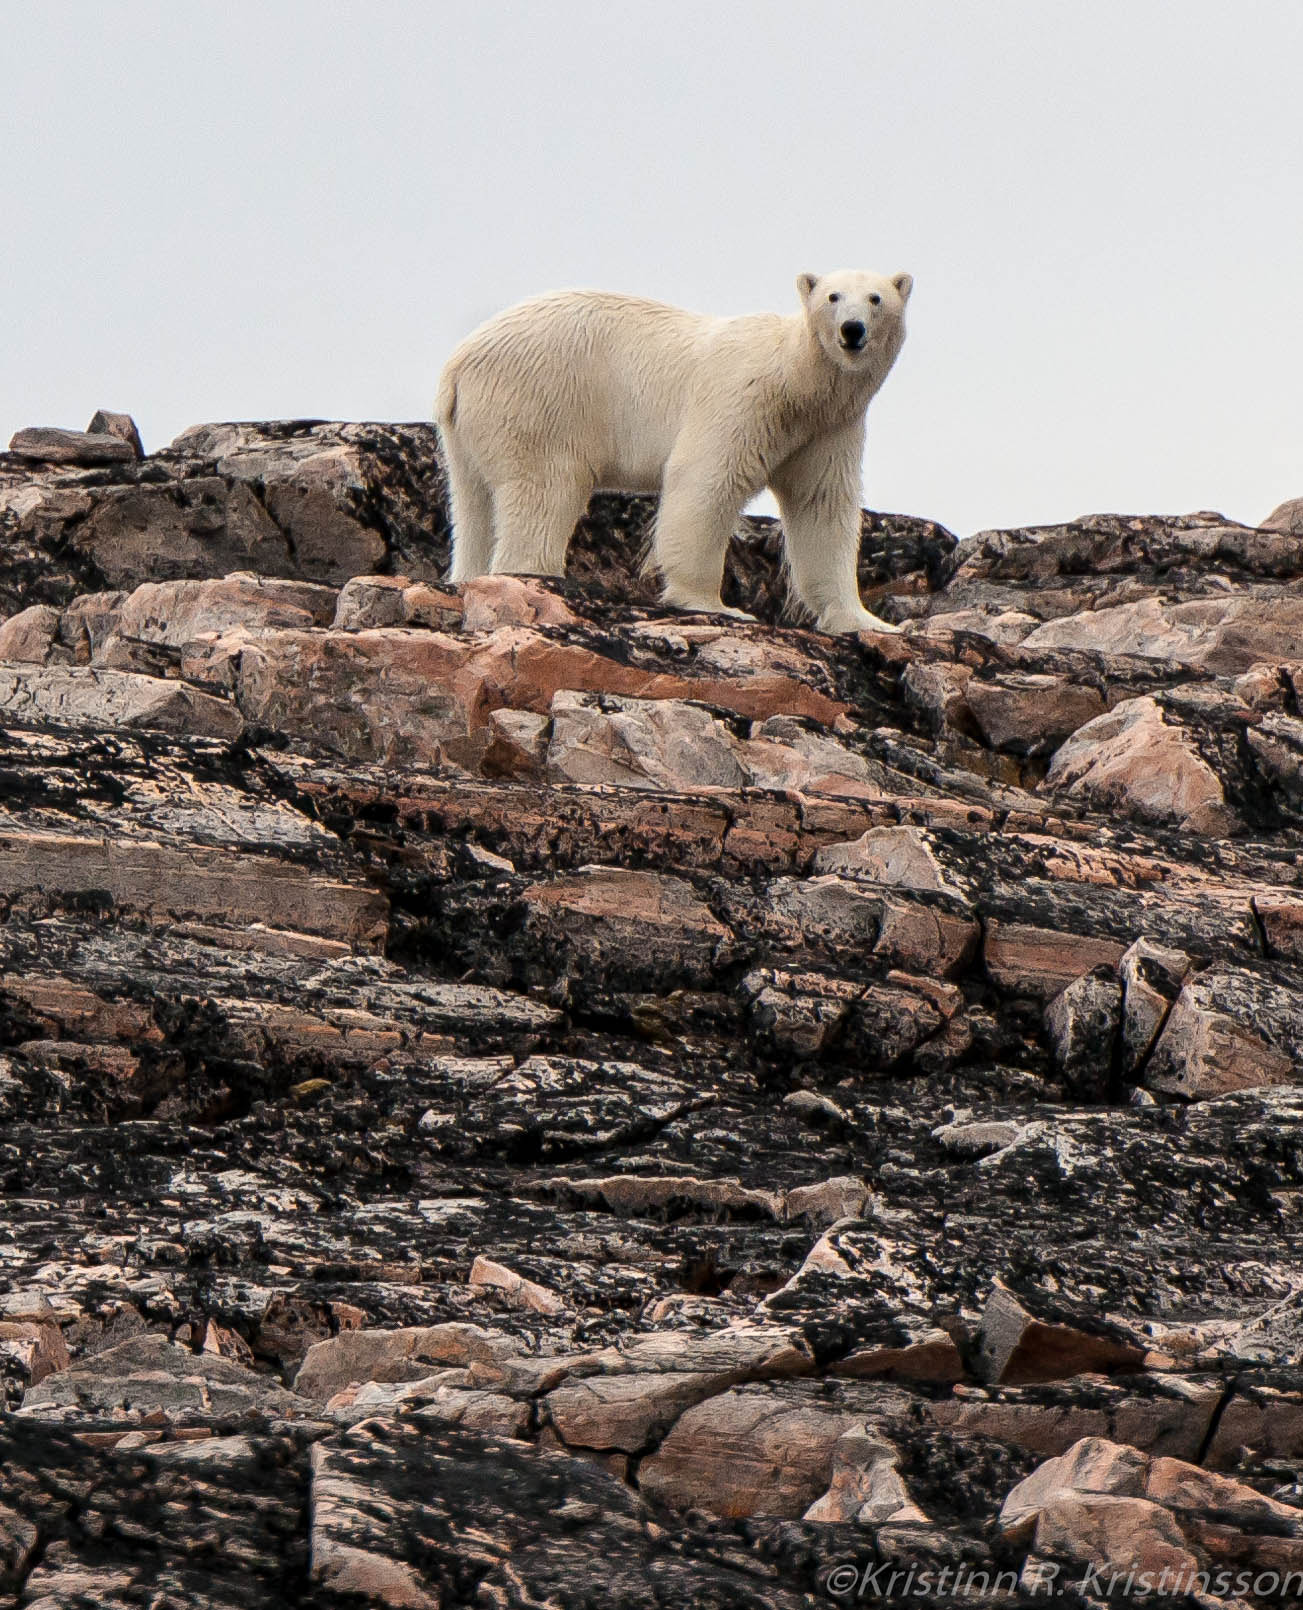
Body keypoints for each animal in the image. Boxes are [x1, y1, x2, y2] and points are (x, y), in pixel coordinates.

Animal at [431, 270, 908, 627]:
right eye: (832, 296)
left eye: (875, 298)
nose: (852, 330)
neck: (797, 377)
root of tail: (458, 361)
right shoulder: (745, 398)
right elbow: (706, 479)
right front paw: (713, 604)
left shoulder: (827, 428)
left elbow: (822, 505)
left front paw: (865, 620)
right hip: (540, 399)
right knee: (546, 489)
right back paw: (537, 573)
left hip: (471, 430)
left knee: (473, 504)